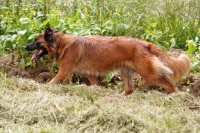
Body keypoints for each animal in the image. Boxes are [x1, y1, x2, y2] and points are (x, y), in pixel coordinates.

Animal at [25, 26, 191, 94]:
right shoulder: (91, 75)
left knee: (170, 85)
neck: (61, 44)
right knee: (129, 89)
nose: (26, 47)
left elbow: (50, 83)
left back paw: (173, 98)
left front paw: (41, 88)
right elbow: (96, 85)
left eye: (36, 41)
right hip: (125, 72)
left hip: (148, 74)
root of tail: (144, 43)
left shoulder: (63, 73)